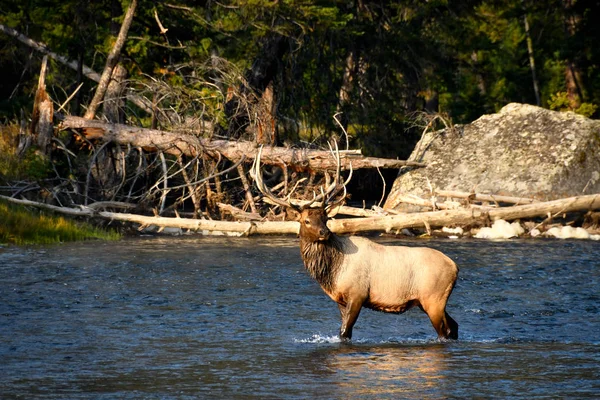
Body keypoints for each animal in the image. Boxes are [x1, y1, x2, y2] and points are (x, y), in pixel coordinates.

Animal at [251, 147, 458, 340]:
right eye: (306, 221)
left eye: (325, 218)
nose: (324, 232)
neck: (333, 271)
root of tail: (455, 267)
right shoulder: (340, 299)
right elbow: (345, 332)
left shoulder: (357, 294)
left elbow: (344, 331)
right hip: (430, 301)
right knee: (454, 326)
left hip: (433, 298)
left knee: (445, 331)